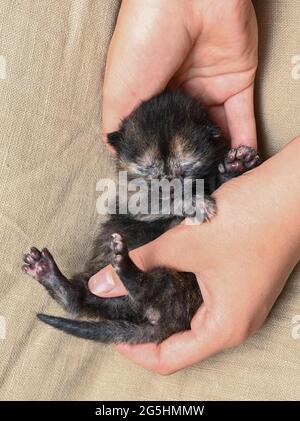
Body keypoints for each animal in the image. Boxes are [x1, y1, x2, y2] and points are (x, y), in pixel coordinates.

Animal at [21, 90, 260, 342]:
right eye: (148, 170)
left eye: (186, 167)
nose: (169, 186)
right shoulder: (132, 197)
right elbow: (154, 202)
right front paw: (195, 200)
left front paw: (235, 166)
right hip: (99, 283)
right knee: (79, 301)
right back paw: (50, 274)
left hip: (176, 282)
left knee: (149, 289)